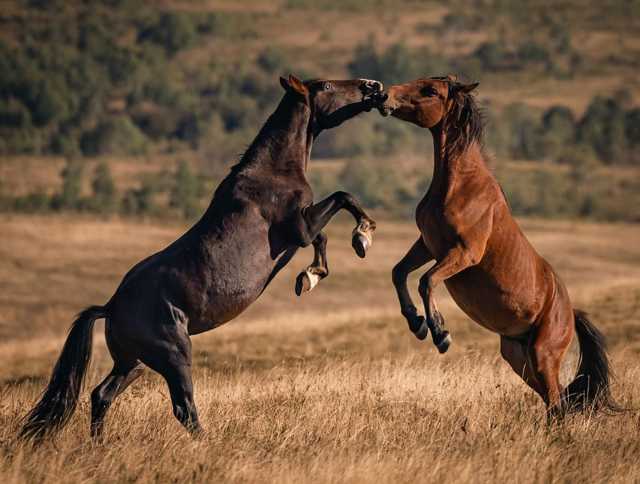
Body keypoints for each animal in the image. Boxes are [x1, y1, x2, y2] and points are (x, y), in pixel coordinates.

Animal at [21, 73, 384, 440]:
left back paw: (100, 446)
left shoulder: (302, 230)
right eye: (326, 87)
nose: (373, 86)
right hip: (174, 356)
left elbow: (328, 226)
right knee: (182, 407)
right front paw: (359, 239)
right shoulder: (300, 229)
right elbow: (341, 200)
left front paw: (311, 275)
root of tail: (110, 306)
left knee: (101, 394)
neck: (273, 173)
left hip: (133, 362)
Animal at [378, 76, 616, 416]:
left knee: (558, 403)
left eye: (431, 91)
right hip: (520, 358)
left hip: (543, 354)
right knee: (554, 402)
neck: (459, 185)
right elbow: (399, 273)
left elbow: (426, 281)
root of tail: (570, 313)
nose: (384, 96)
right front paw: (416, 323)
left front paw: (440, 333)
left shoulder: (464, 253)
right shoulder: (427, 245)